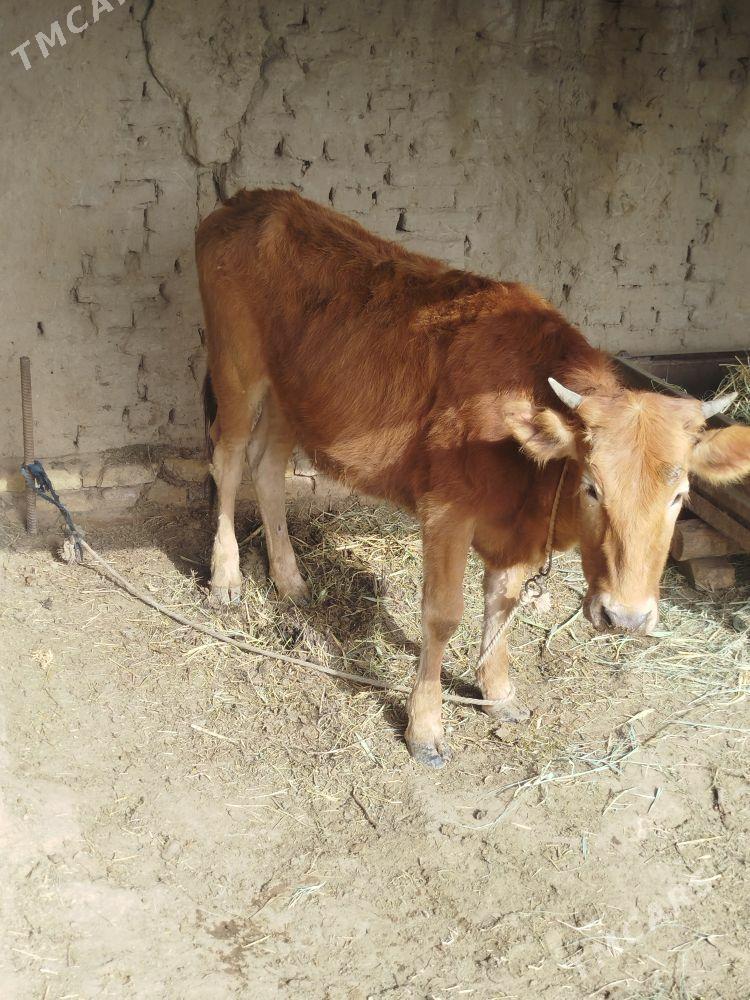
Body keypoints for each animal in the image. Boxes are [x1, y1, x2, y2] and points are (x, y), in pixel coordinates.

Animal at [196, 188, 750, 768]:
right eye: (592, 486)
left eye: (680, 495)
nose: (626, 618)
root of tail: (253, 200)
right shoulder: (447, 510)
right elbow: (443, 615)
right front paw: (425, 726)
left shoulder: (513, 532)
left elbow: (503, 600)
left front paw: (497, 692)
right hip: (236, 368)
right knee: (228, 459)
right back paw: (226, 578)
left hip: (291, 393)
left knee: (266, 466)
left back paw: (289, 579)